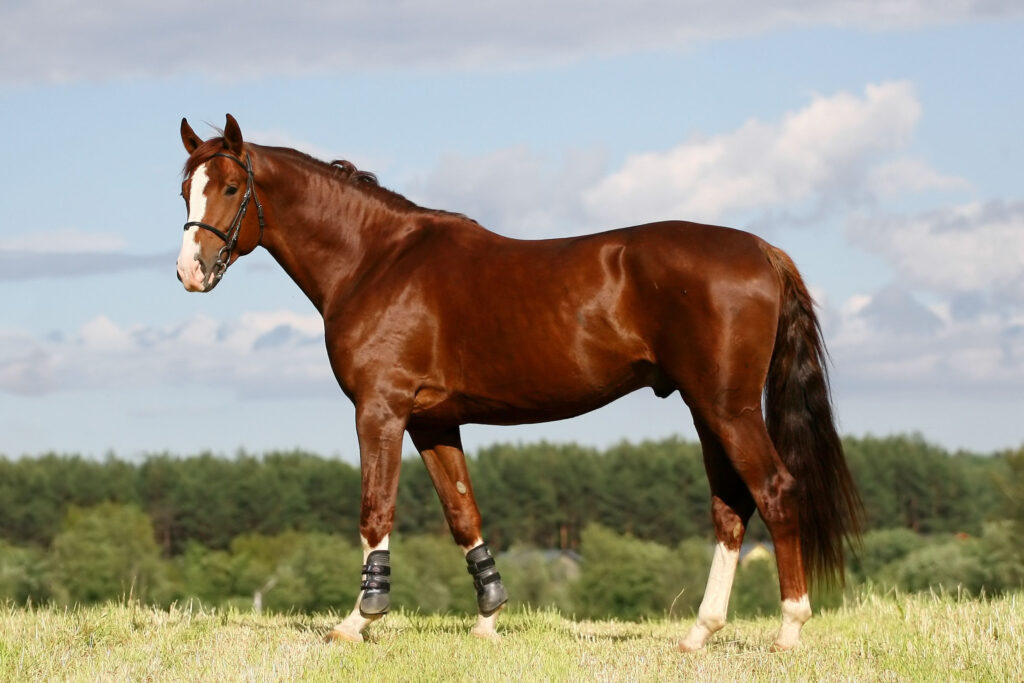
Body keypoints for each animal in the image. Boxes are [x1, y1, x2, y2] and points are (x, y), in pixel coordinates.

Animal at [178, 113, 864, 651]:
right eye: (185, 188)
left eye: (232, 187)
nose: (191, 271)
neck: (377, 260)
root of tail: (762, 250)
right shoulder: (433, 421)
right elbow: (463, 513)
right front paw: (489, 618)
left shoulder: (381, 410)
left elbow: (376, 509)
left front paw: (357, 621)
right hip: (707, 410)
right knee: (731, 507)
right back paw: (699, 632)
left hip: (729, 409)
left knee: (774, 492)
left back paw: (788, 630)